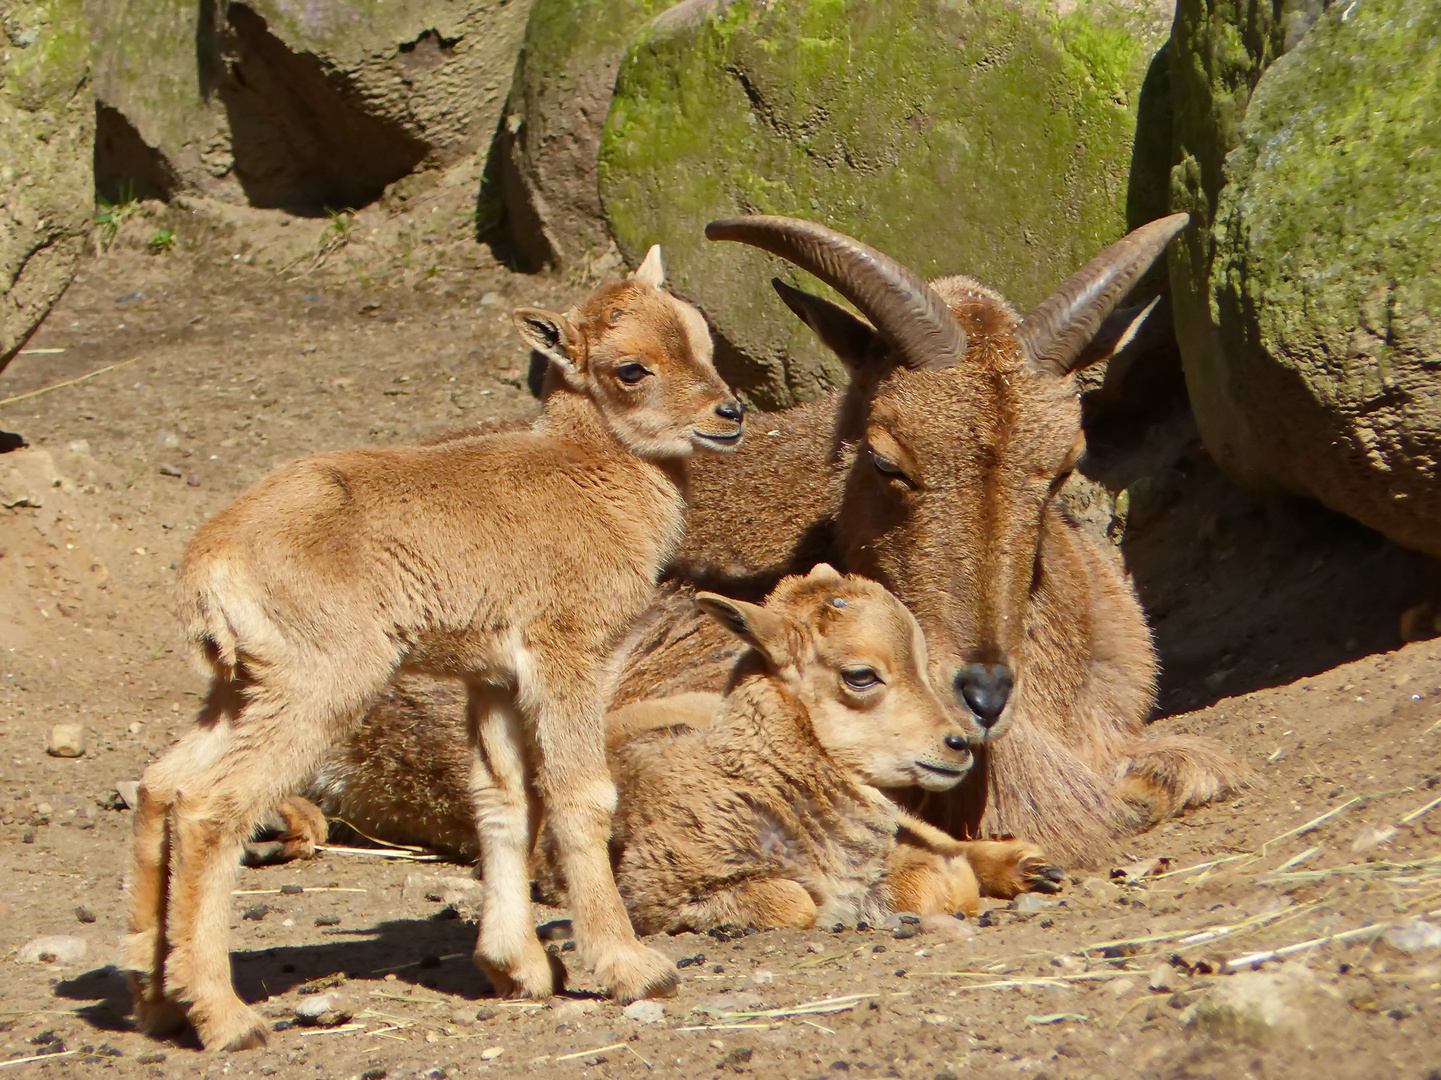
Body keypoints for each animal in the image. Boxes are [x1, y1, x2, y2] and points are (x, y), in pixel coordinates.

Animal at [122, 248, 743, 1049]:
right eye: (630, 368)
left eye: (699, 334)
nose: (728, 414)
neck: (588, 478)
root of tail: (209, 565)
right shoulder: (570, 655)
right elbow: (579, 794)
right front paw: (632, 966)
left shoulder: (493, 679)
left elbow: (503, 800)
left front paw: (519, 971)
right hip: (318, 685)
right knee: (208, 806)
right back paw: (227, 1019)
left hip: (243, 688)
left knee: (161, 786)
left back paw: (155, 1000)